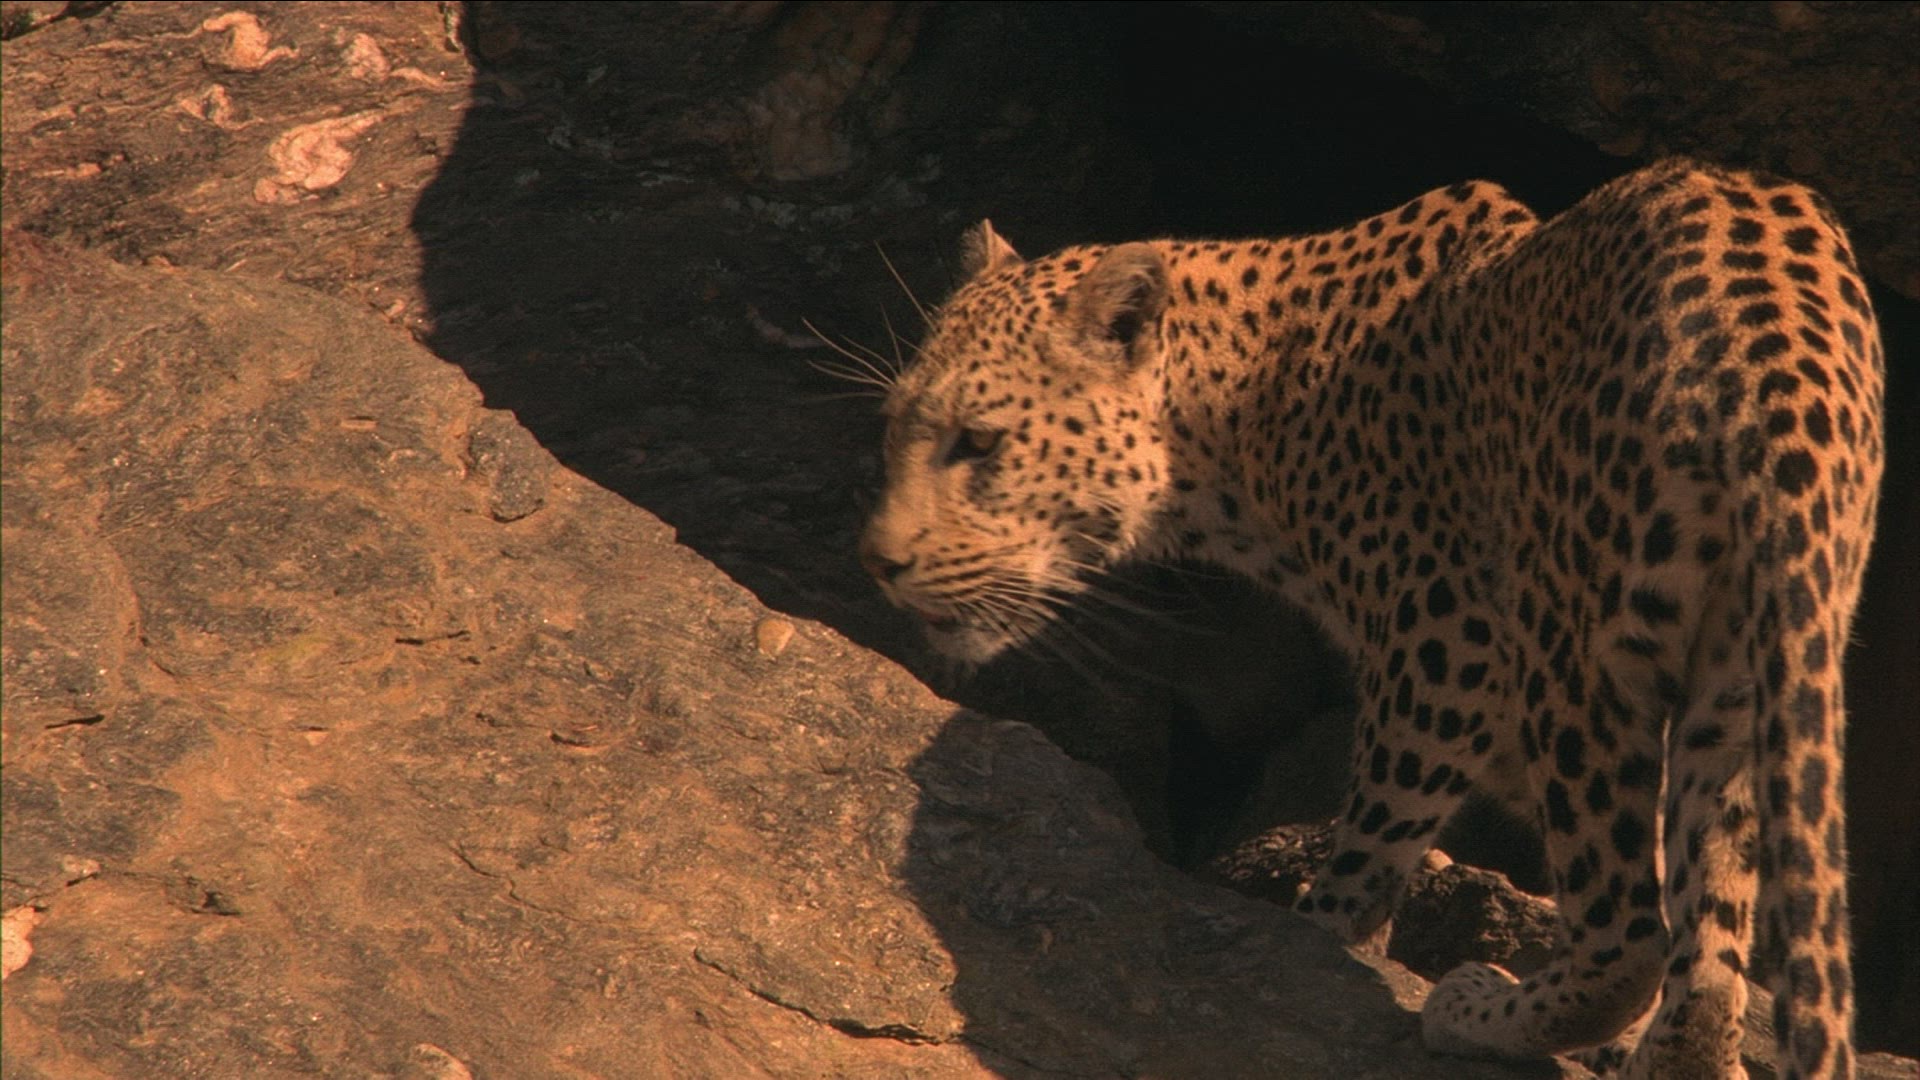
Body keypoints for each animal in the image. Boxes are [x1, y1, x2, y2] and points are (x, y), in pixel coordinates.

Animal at [857, 159, 1884, 1078]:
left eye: (979, 443)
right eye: (898, 426)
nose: (879, 560)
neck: (1229, 423)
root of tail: (1779, 368)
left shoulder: (1444, 647)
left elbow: (1367, 855)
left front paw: (1310, 941)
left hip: (1573, 652)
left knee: (1626, 931)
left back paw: (1477, 1009)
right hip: (1749, 675)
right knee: (1706, 976)